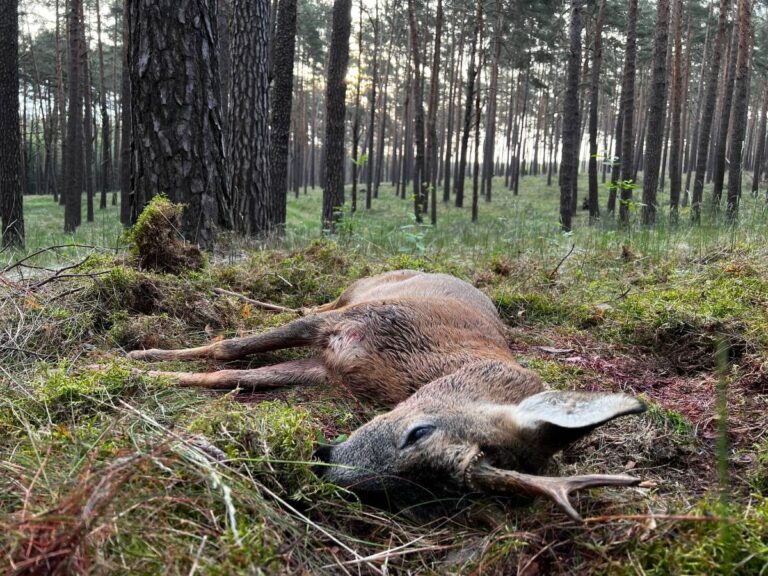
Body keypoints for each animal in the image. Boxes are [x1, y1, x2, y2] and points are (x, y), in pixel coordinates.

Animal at [128, 269, 646, 521]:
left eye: (416, 495)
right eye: (418, 432)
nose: (322, 463)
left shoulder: (327, 369)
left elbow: (231, 375)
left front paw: (148, 373)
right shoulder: (352, 322)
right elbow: (229, 347)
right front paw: (131, 359)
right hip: (356, 295)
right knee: (313, 302)